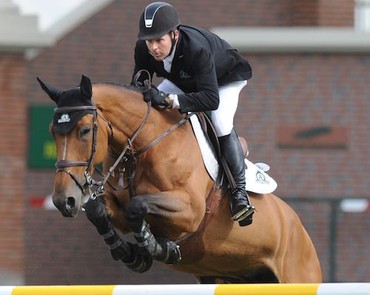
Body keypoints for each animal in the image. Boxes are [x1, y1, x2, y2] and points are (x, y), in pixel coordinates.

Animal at [36, 75, 320, 284]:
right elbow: (98, 210)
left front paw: (156, 246)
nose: (64, 200)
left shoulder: (190, 211)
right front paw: (129, 253)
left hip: (297, 275)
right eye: (52, 132)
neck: (143, 147)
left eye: (84, 130)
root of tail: (298, 226)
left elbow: (137, 206)